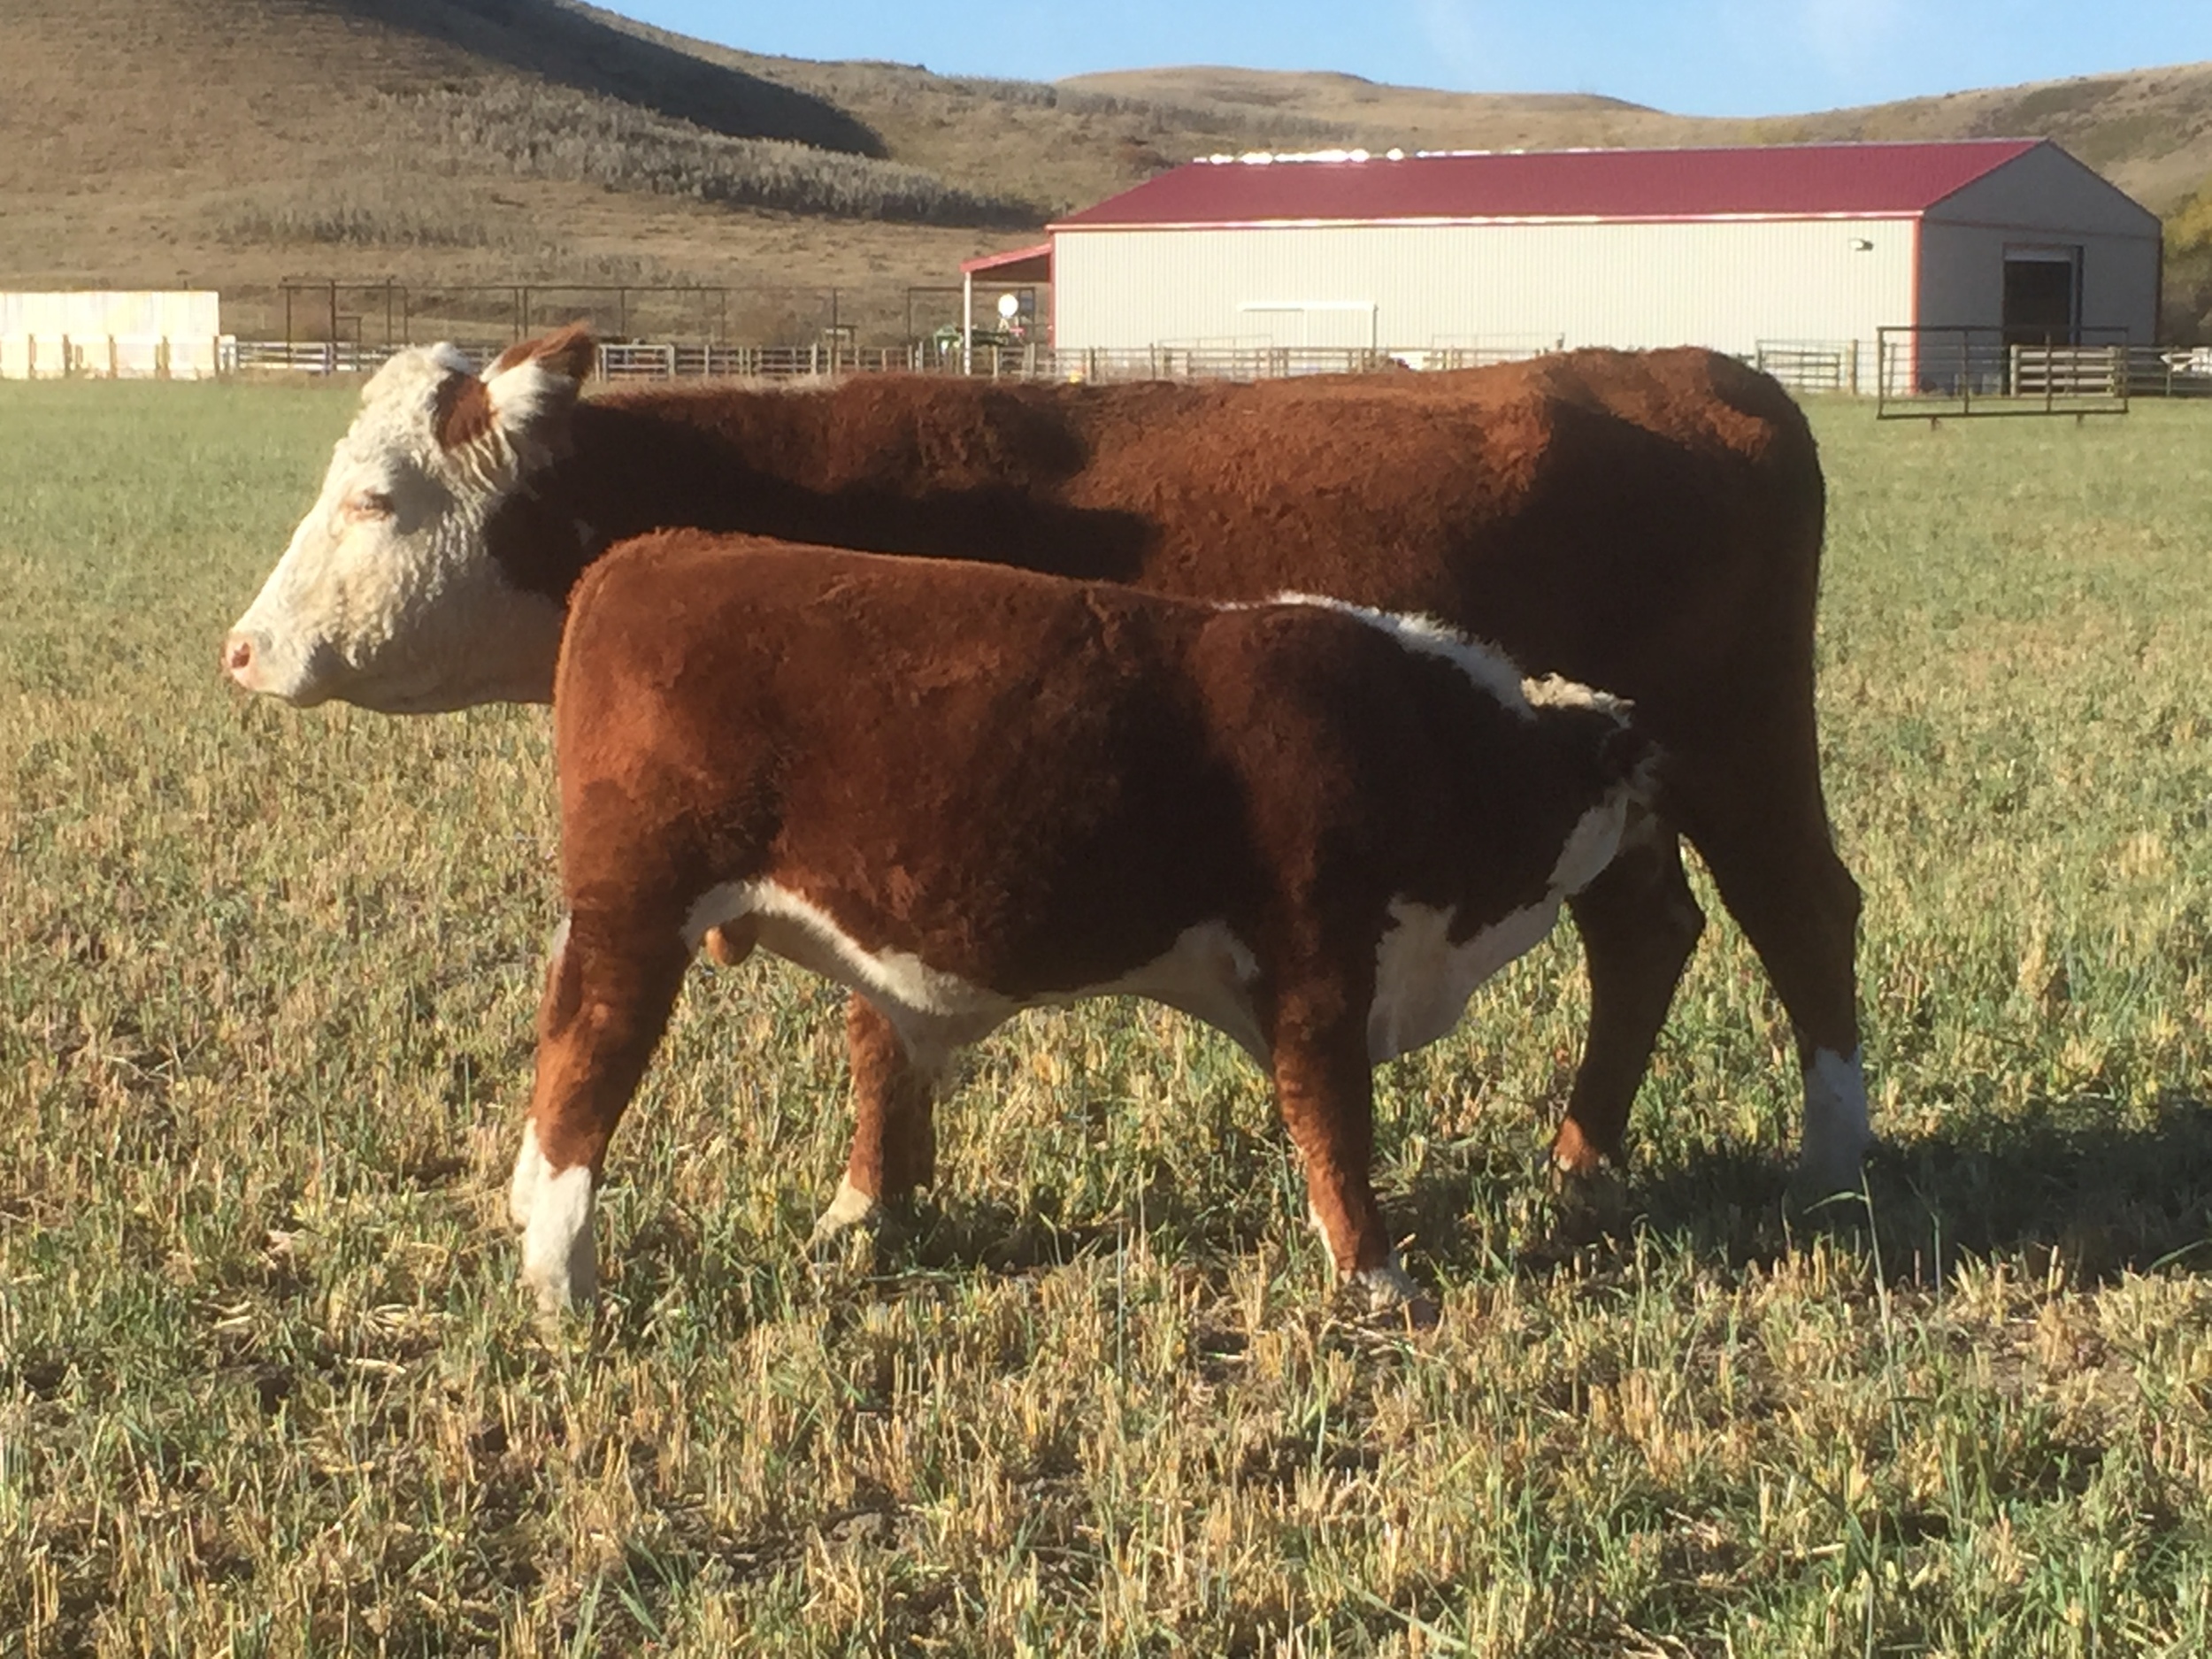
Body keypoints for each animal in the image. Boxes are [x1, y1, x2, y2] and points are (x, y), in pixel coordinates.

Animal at [225, 327, 1870, 1215]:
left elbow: (877, 1028)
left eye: (373, 499)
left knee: (1803, 916)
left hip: (1743, 750)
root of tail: (1699, 378)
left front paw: (865, 1204)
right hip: (1627, 790)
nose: (246, 650)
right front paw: (878, 1197)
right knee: (1649, 935)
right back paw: (1584, 1156)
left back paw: (1833, 1156)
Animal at [512, 530, 1658, 1318]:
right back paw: (565, 1284)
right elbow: (1333, 1126)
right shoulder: (1319, 966)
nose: (1644, 738)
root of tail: (650, 554)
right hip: (637, 919)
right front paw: (1382, 1287)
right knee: (583, 1079)